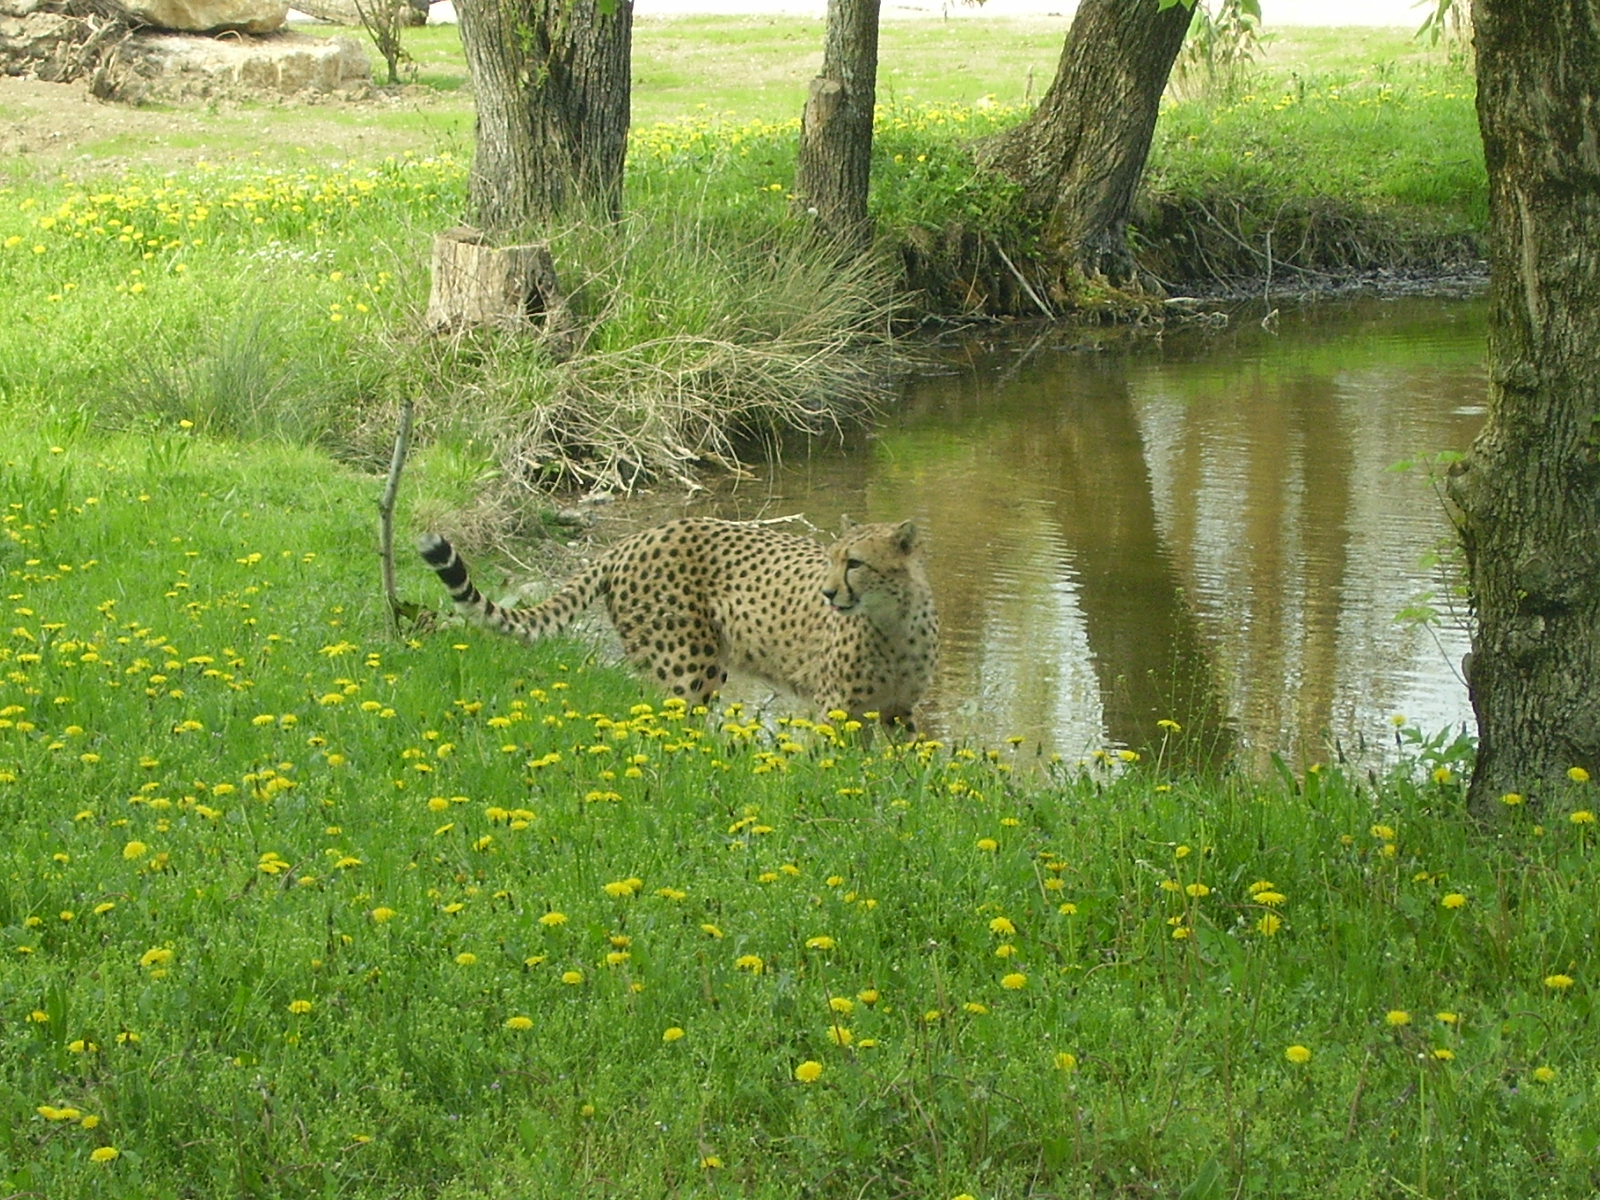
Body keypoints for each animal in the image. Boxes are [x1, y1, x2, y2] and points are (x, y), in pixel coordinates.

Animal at [417, 517, 938, 727]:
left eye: (855, 563)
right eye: (831, 561)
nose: (828, 594)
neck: (892, 622)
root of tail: (633, 540)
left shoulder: (898, 709)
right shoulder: (835, 708)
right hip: (688, 666)